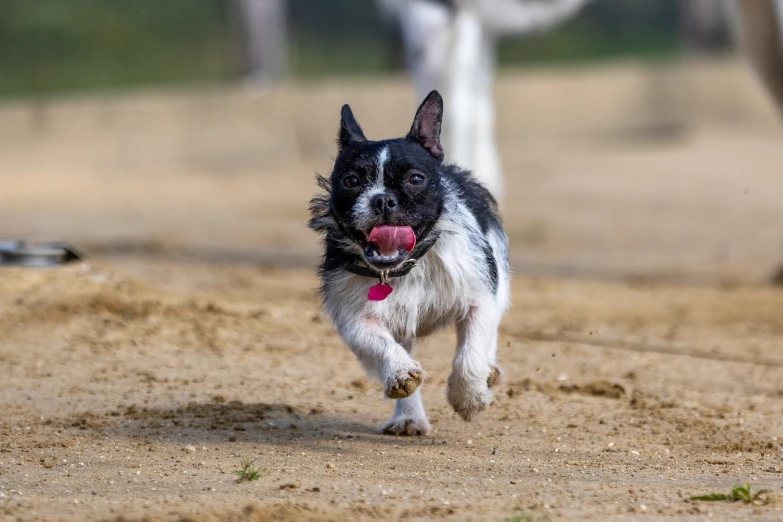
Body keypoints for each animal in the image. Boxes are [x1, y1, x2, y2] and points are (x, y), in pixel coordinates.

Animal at [310, 90, 512, 434]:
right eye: (350, 181)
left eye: (415, 179)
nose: (382, 199)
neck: (404, 266)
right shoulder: (354, 315)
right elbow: (377, 342)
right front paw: (400, 372)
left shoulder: (480, 298)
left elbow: (470, 352)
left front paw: (469, 397)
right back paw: (408, 417)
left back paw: (489, 372)